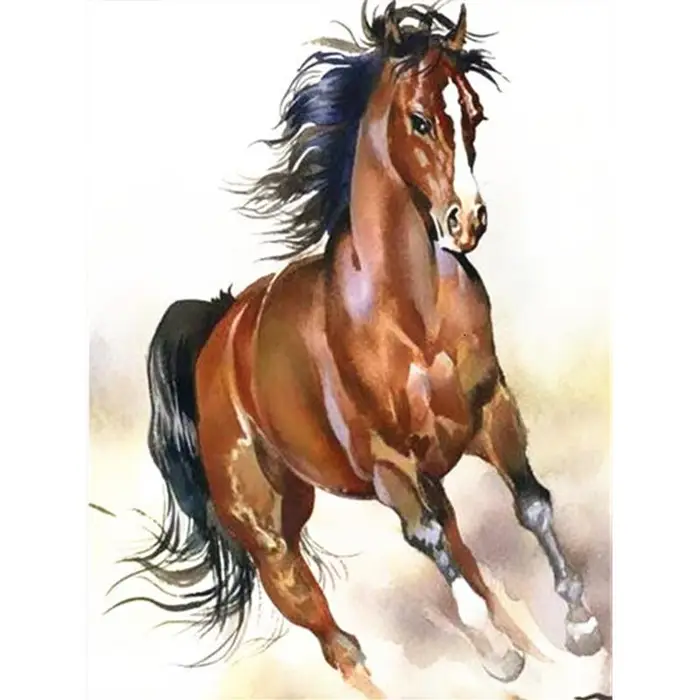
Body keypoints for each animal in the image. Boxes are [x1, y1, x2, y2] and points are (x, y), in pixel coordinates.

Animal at [111, 2, 603, 696]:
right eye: (420, 118)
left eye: (474, 113)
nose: (468, 220)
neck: (410, 316)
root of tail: (217, 332)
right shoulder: (387, 466)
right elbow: (431, 544)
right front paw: (497, 654)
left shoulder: (490, 413)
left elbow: (531, 505)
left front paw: (581, 626)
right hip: (273, 541)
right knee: (341, 643)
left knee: (466, 560)